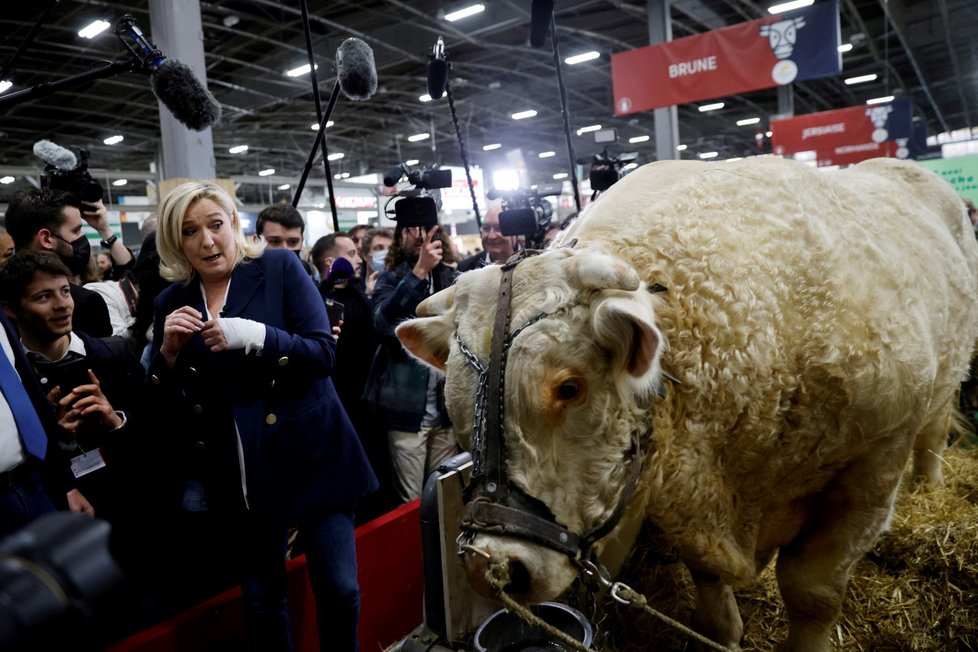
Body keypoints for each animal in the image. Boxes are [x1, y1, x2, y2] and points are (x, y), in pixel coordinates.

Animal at [394, 159, 976, 652]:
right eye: (456, 407)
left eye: (569, 388)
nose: (490, 563)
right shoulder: (691, 503)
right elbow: (710, 587)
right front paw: (725, 631)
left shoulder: (874, 465)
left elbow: (812, 591)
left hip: (947, 378)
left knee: (934, 434)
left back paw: (931, 486)